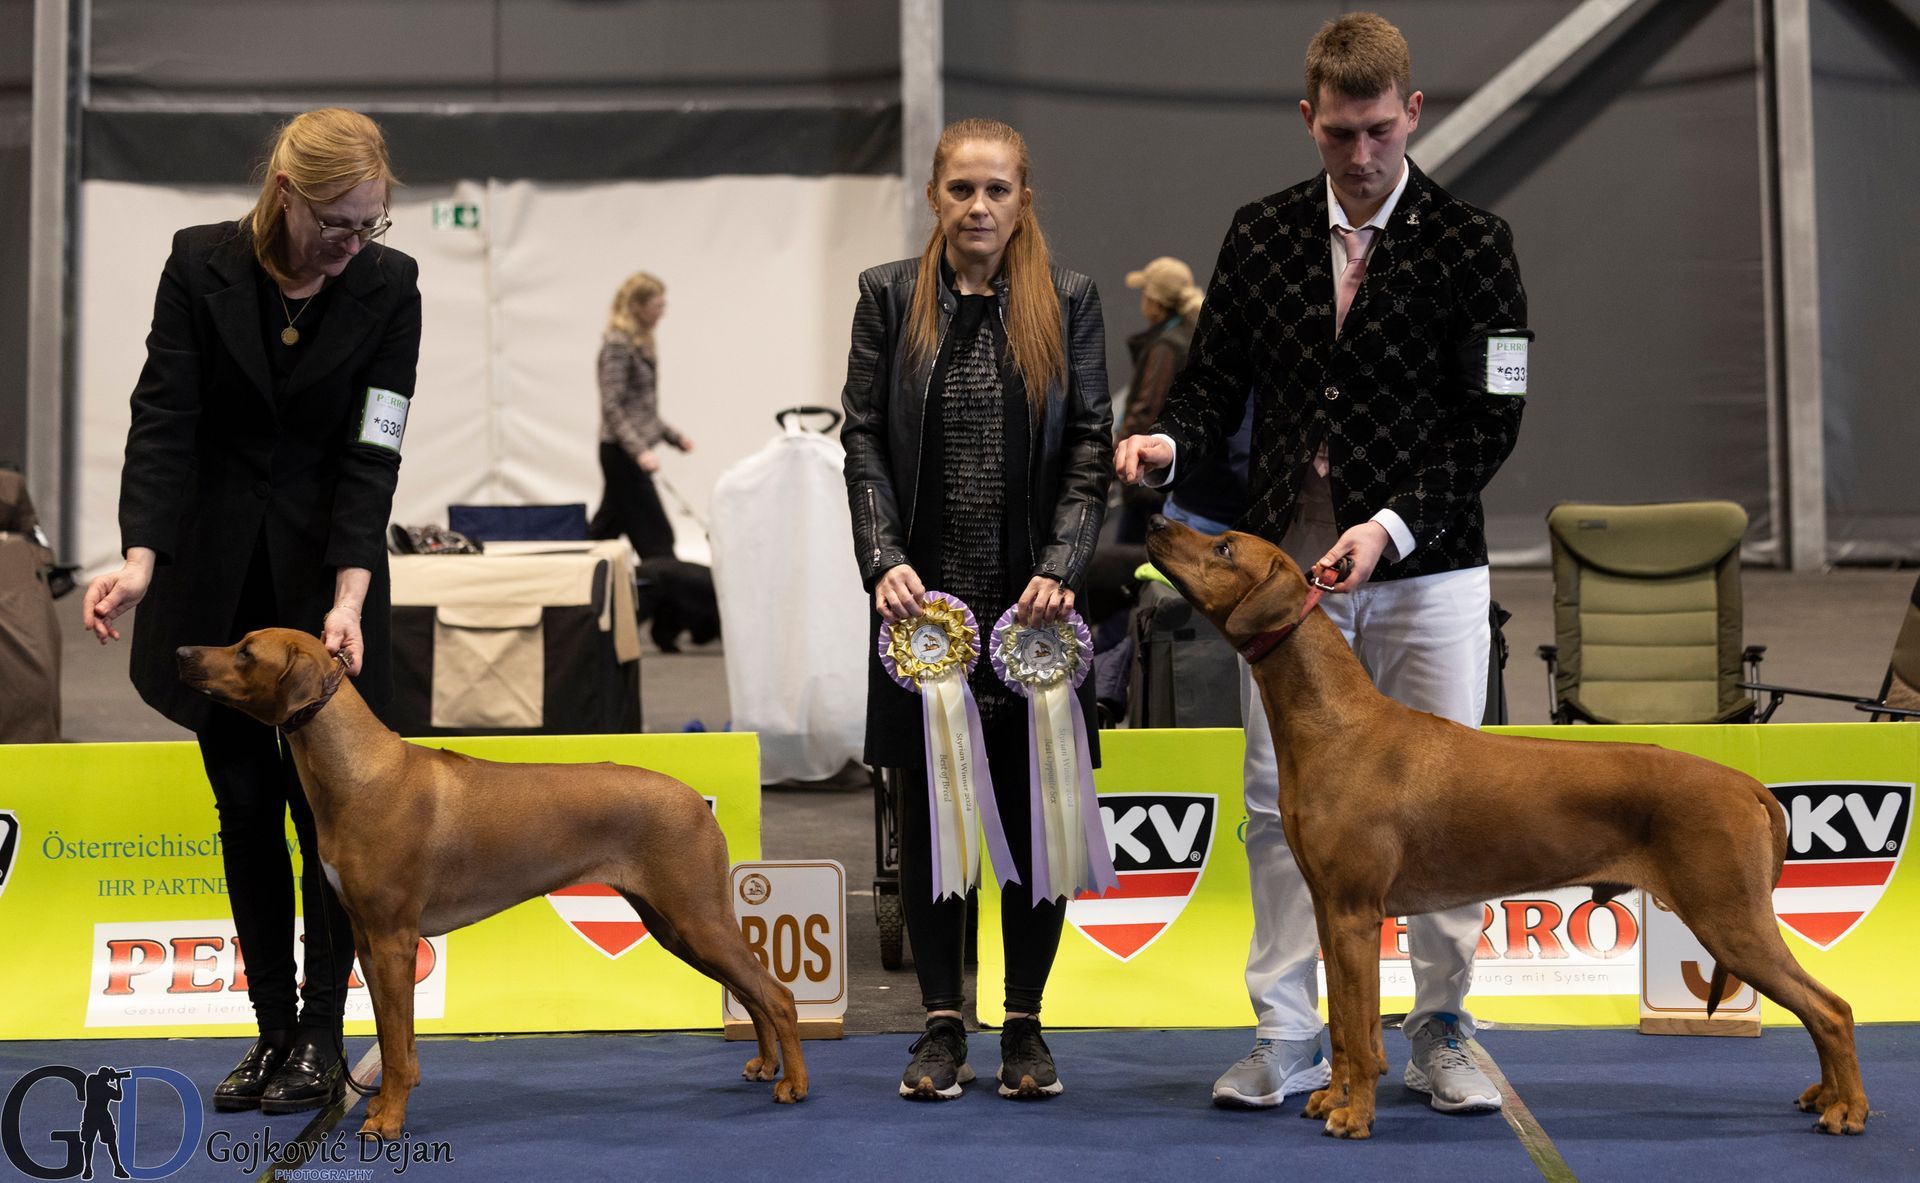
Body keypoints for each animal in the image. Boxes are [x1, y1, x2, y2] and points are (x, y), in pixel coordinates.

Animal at [177, 628, 807, 1139]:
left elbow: (398, 1049)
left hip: (694, 915)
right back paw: (765, 1065)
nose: (182, 653)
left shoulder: (393, 939)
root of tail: (694, 798)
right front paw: (382, 1105)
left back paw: (793, 1085)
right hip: (674, 925)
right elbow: (395, 1038)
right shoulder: (367, 938)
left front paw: (388, 1120)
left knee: (774, 993)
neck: (359, 772)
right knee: (750, 992)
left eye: (245, 651)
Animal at [1143, 517, 1867, 1139]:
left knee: (1831, 1008)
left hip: (1730, 918)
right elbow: (1347, 1028)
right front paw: (1332, 1097)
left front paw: (1354, 1116)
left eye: (1225, 547)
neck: (1334, 720)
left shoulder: (1353, 913)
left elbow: (1361, 1028)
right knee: (1819, 1009)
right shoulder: (1330, 910)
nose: (1153, 521)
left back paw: (1847, 1108)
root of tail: (1744, 783)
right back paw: (1824, 1095)